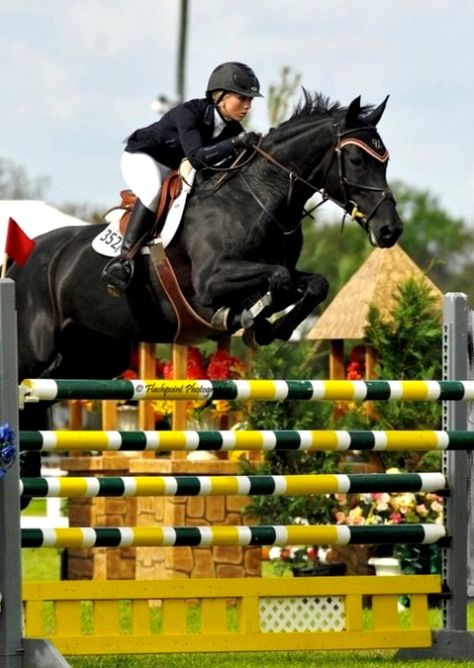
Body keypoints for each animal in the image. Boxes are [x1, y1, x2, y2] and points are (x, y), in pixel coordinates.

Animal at [8, 91, 400, 388]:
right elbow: (278, 281)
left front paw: (267, 326)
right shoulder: (210, 281)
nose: (390, 230)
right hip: (35, 351)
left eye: (385, 160)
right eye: (356, 158)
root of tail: (20, 262)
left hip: (93, 354)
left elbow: (312, 284)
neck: (258, 197)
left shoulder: (278, 267)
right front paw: (250, 317)